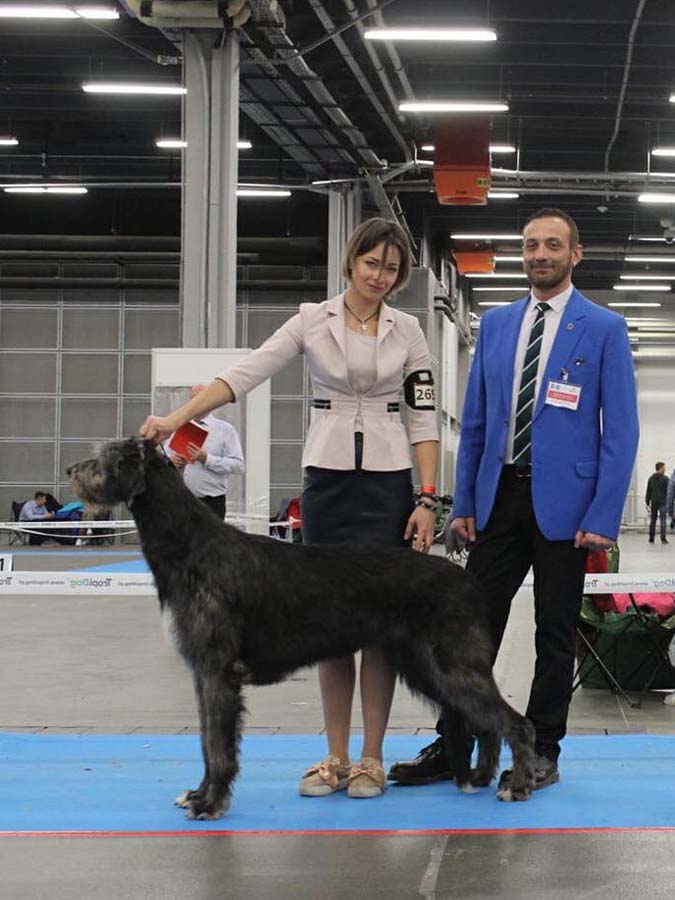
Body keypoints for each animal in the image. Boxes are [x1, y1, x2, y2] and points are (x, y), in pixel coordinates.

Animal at [67, 440, 532, 820]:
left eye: (103, 458)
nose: (72, 470)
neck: (192, 547)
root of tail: (467, 580)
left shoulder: (219, 671)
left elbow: (218, 745)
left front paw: (211, 802)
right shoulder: (202, 673)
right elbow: (205, 740)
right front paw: (198, 794)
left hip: (451, 664)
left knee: (512, 721)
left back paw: (520, 784)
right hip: (424, 666)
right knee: (483, 722)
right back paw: (482, 775)